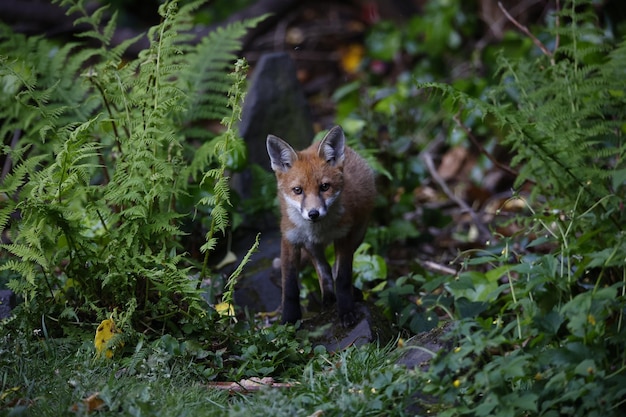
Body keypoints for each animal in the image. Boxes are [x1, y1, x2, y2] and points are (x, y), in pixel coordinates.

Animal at [264, 125, 376, 326]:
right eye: (297, 190)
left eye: (324, 187)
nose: (313, 213)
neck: (318, 230)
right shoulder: (290, 239)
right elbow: (290, 287)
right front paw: (289, 319)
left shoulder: (344, 237)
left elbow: (343, 278)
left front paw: (346, 310)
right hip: (311, 246)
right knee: (323, 269)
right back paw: (328, 298)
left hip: (358, 234)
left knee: (334, 269)